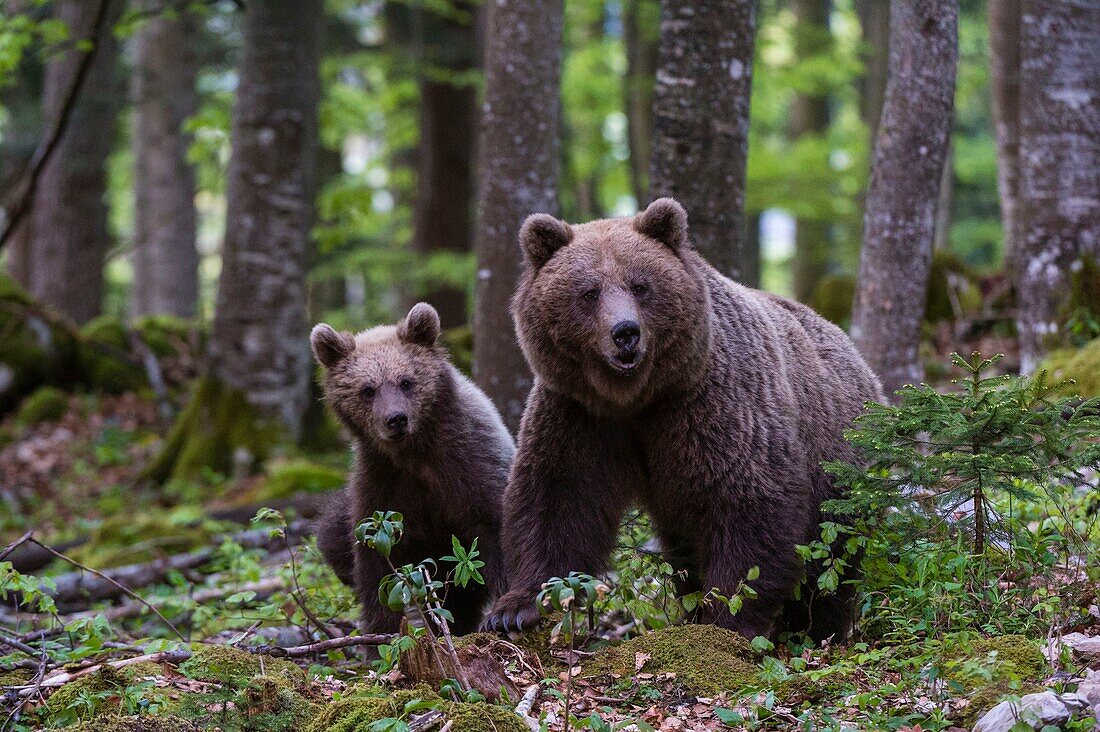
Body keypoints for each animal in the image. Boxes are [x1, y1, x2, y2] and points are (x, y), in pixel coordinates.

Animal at [484, 200, 884, 638]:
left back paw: (813, 629)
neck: (635, 397)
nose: (625, 332)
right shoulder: (578, 414)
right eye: (589, 292)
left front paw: (724, 619)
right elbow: (559, 500)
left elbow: (749, 504)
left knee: (831, 560)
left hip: (837, 466)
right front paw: (515, 609)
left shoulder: (712, 406)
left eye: (640, 285)